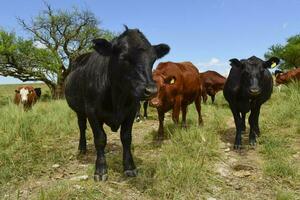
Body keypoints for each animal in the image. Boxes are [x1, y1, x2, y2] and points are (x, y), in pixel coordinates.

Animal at [64, 26, 170, 181]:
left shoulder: (131, 111)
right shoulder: (91, 112)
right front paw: (101, 169)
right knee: (82, 127)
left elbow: (126, 137)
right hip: (79, 110)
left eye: (153, 59)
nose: (151, 90)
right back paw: (82, 148)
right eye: (123, 57)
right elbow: (100, 139)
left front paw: (129, 167)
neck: (117, 97)